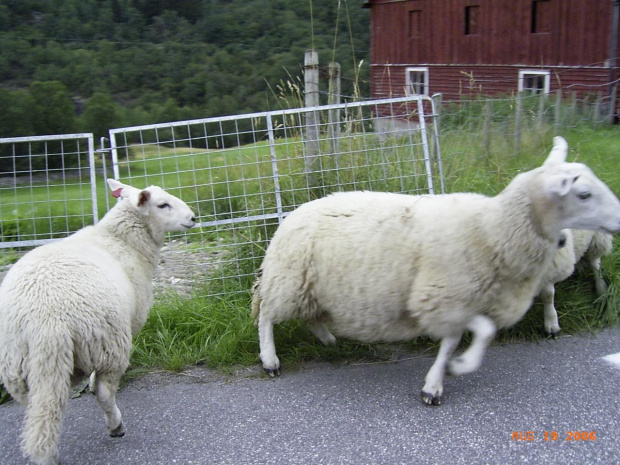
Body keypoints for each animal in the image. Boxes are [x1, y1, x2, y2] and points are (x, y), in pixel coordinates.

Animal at [0, 179, 196, 464]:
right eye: (163, 205)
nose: (193, 218)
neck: (122, 240)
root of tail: (44, 319)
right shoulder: (126, 324)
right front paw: (93, 387)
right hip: (107, 340)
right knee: (103, 392)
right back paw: (115, 425)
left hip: (21, 364)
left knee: (39, 413)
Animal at [251, 136, 620, 404]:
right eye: (583, 194)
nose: (619, 219)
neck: (490, 231)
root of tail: (291, 216)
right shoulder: (444, 296)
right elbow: (462, 338)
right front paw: (445, 377)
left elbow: (471, 335)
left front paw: (442, 377)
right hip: (289, 278)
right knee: (266, 314)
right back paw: (270, 360)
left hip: (310, 285)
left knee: (310, 316)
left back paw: (328, 339)